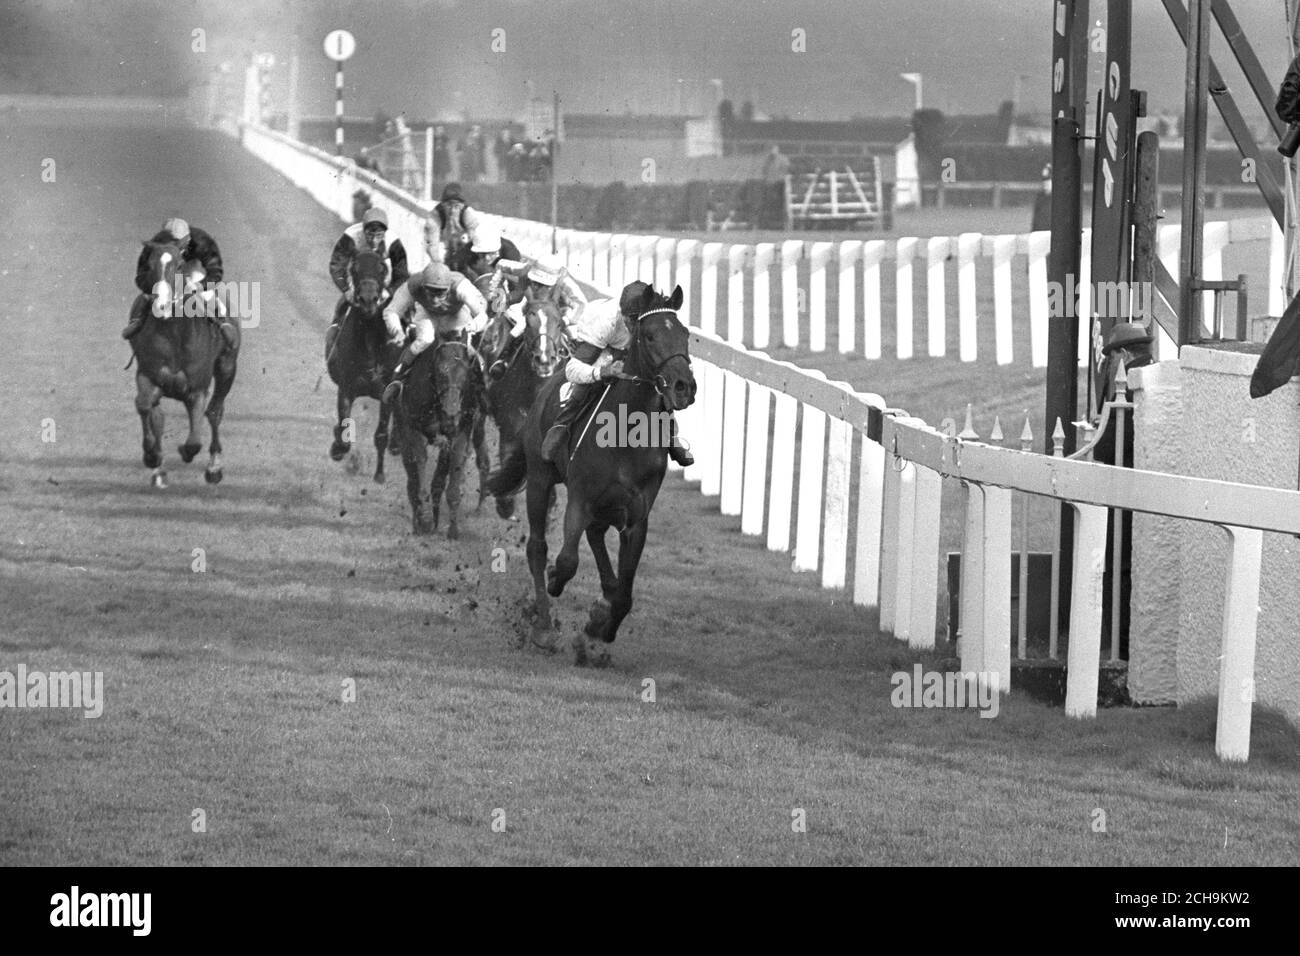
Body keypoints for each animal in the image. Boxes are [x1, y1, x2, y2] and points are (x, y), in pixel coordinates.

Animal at [130, 239, 240, 486]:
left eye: (179, 265)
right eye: (148, 265)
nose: (161, 305)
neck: (174, 335)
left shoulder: (196, 389)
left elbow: (195, 439)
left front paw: (190, 454)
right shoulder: (148, 376)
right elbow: (145, 406)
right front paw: (151, 455)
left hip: (227, 366)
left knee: (215, 412)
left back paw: (214, 467)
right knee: (157, 415)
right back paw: (158, 471)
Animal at [323, 248, 390, 481]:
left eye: (382, 268)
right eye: (354, 268)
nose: (368, 300)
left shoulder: (387, 392)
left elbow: (382, 434)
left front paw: (380, 474)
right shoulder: (346, 388)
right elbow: (343, 429)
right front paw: (337, 448)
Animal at [488, 283, 696, 665]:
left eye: (685, 334)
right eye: (650, 335)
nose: (683, 386)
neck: (627, 434)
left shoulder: (636, 517)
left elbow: (625, 594)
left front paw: (600, 625)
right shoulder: (580, 499)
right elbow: (567, 561)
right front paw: (557, 582)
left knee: (597, 537)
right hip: (540, 479)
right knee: (538, 548)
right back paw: (543, 626)